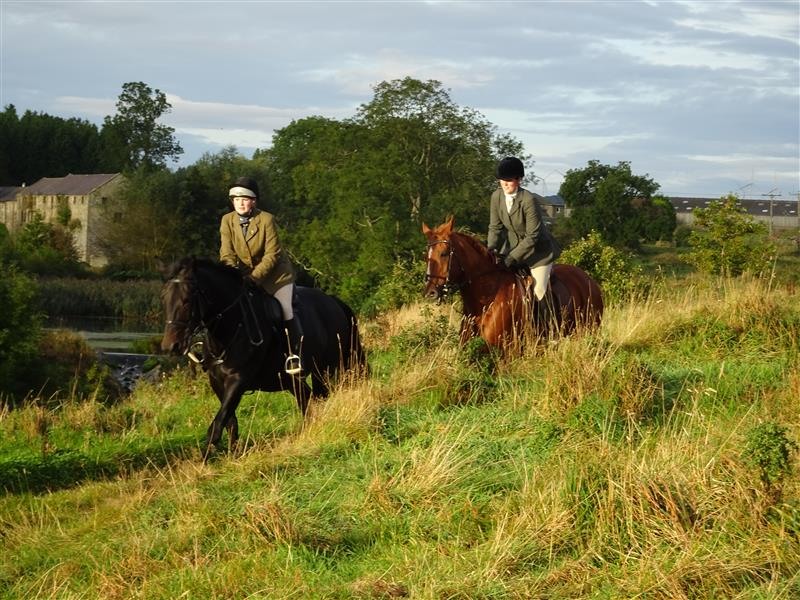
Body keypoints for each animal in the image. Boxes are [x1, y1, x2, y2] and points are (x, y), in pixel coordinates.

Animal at [160, 256, 365, 459]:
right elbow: (229, 421)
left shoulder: (238, 380)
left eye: (187, 300)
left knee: (319, 398)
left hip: (324, 370)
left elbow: (217, 424)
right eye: (165, 299)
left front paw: (203, 459)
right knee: (307, 402)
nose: (171, 346)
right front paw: (233, 455)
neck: (233, 326)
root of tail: (333, 301)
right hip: (292, 380)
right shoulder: (216, 381)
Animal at [422, 216, 603, 348]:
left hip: (588, 330)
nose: (430, 293)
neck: (487, 296)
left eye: (444, 253)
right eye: (426, 256)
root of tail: (589, 280)